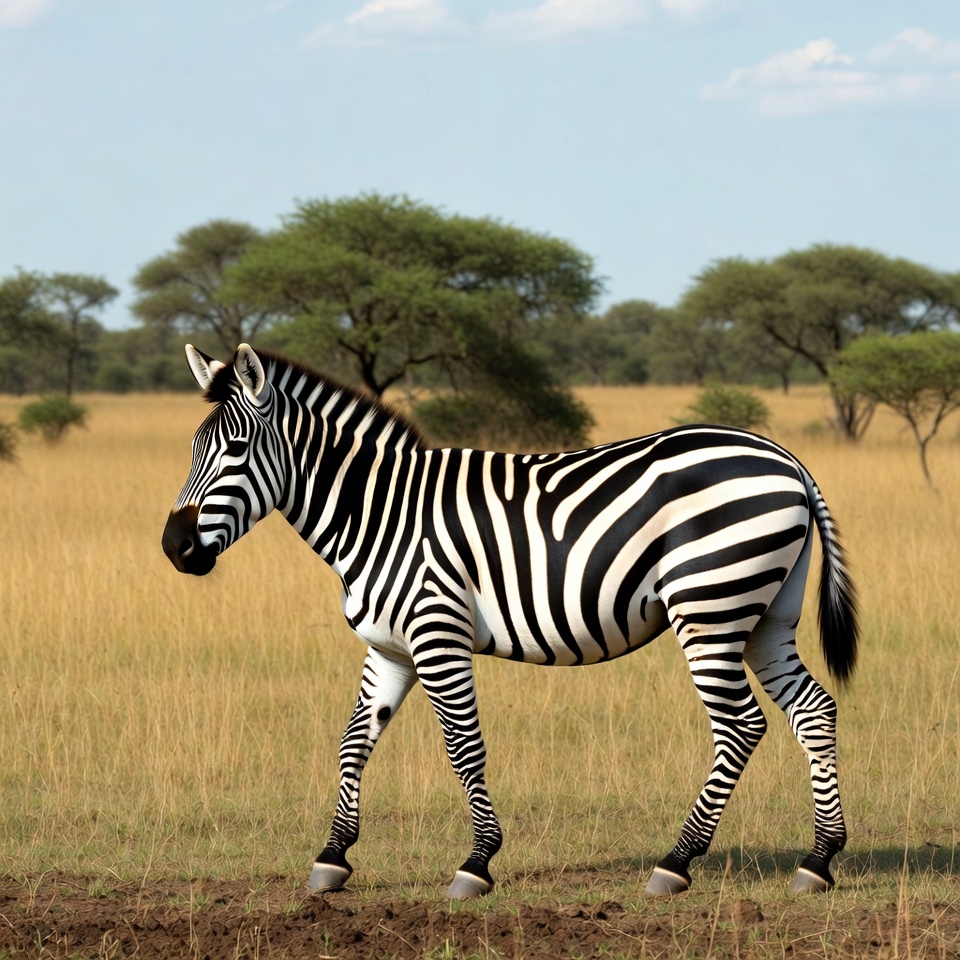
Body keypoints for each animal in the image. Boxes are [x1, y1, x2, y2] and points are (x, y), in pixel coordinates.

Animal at [162, 343, 859, 900]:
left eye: (237, 448)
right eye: (193, 449)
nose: (175, 548)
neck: (380, 514)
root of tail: (786, 459)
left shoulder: (436, 632)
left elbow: (463, 746)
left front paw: (476, 864)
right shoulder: (389, 648)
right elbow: (354, 741)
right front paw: (332, 858)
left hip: (711, 606)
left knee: (741, 726)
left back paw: (676, 863)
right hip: (764, 615)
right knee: (813, 710)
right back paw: (818, 860)